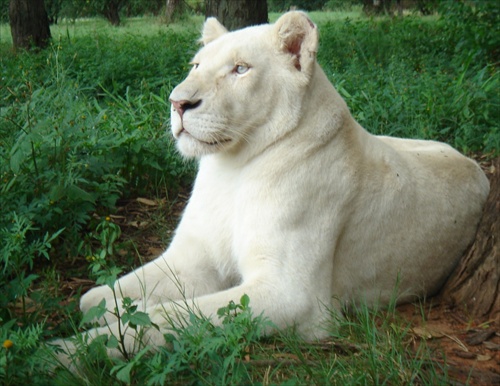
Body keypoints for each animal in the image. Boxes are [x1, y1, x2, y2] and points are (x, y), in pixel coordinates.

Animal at [58, 10, 488, 358]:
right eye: (196, 64)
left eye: (240, 69)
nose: (178, 103)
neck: (231, 169)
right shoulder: (193, 258)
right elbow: (99, 296)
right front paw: (89, 316)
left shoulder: (291, 293)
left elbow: (170, 317)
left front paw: (69, 352)